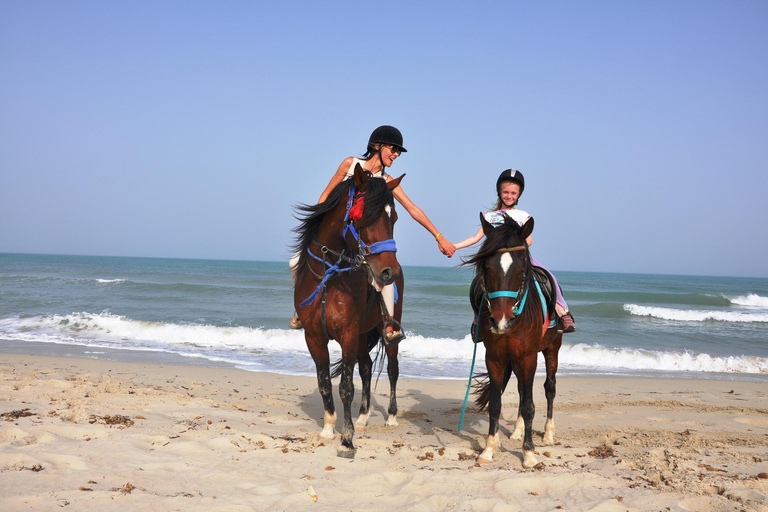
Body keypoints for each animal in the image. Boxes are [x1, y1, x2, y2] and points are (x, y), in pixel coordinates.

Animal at [292, 165, 404, 460]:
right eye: (365, 217)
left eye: (394, 217)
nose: (389, 272)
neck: (328, 276)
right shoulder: (314, 337)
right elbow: (323, 382)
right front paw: (329, 428)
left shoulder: (348, 335)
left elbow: (345, 387)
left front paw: (347, 440)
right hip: (364, 335)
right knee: (366, 368)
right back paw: (363, 417)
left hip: (384, 333)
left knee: (392, 369)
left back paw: (391, 417)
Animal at [462, 212, 564, 468]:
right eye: (487, 267)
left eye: (521, 269)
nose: (501, 321)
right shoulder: (495, 358)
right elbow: (496, 403)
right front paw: (489, 448)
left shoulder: (528, 357)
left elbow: (529, 405)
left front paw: (528, 453)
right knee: (520, 389)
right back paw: (517, 431)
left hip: (551, 349)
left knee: (550, 388)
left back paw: (548, 433)